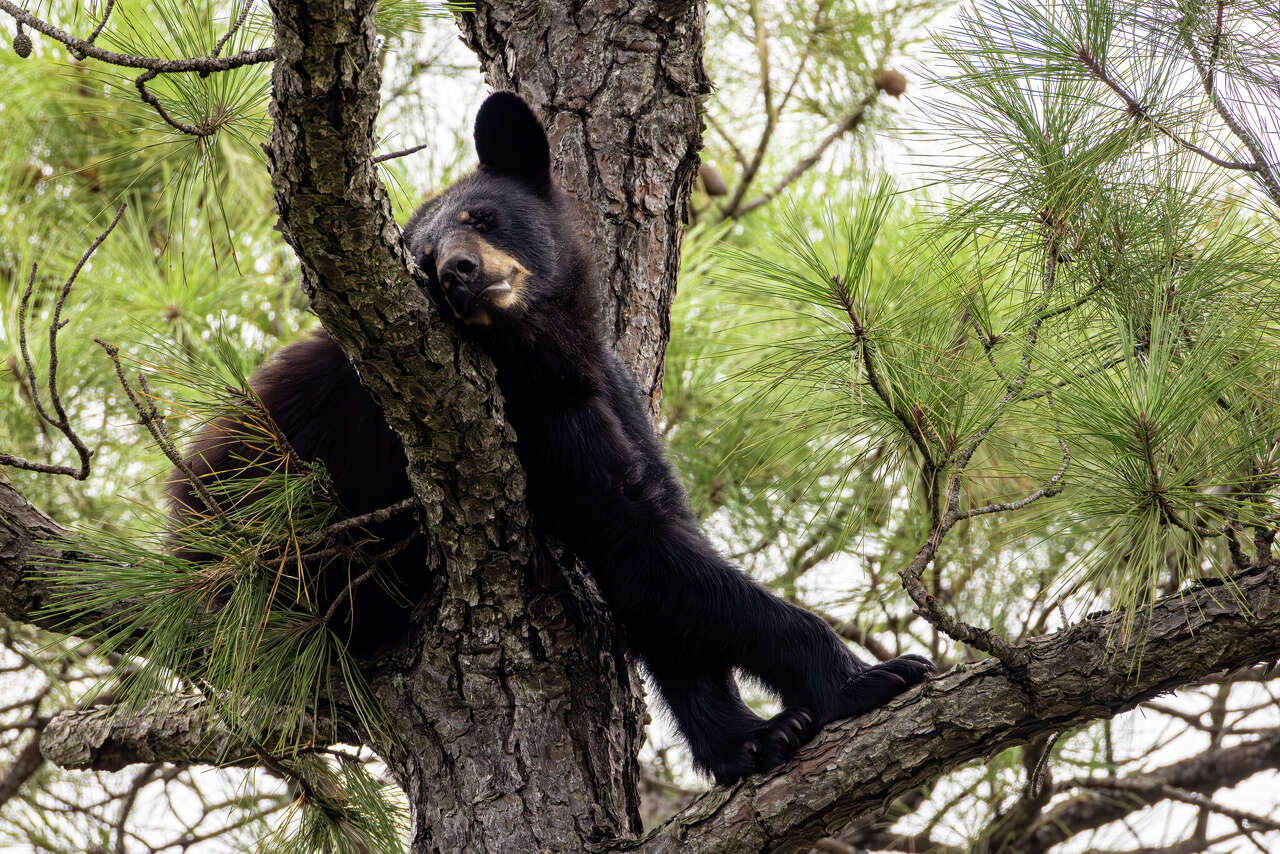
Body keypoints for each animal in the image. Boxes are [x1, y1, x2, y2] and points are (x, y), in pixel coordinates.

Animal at [169, 91, 935, 785]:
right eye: (421, 259)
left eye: (483, 216)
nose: (458, 272)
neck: (548, 354)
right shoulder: (533, 422)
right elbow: (640, 546)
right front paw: (869, 678)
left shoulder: (612, 394)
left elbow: (654, 560)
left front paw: (750, 740)